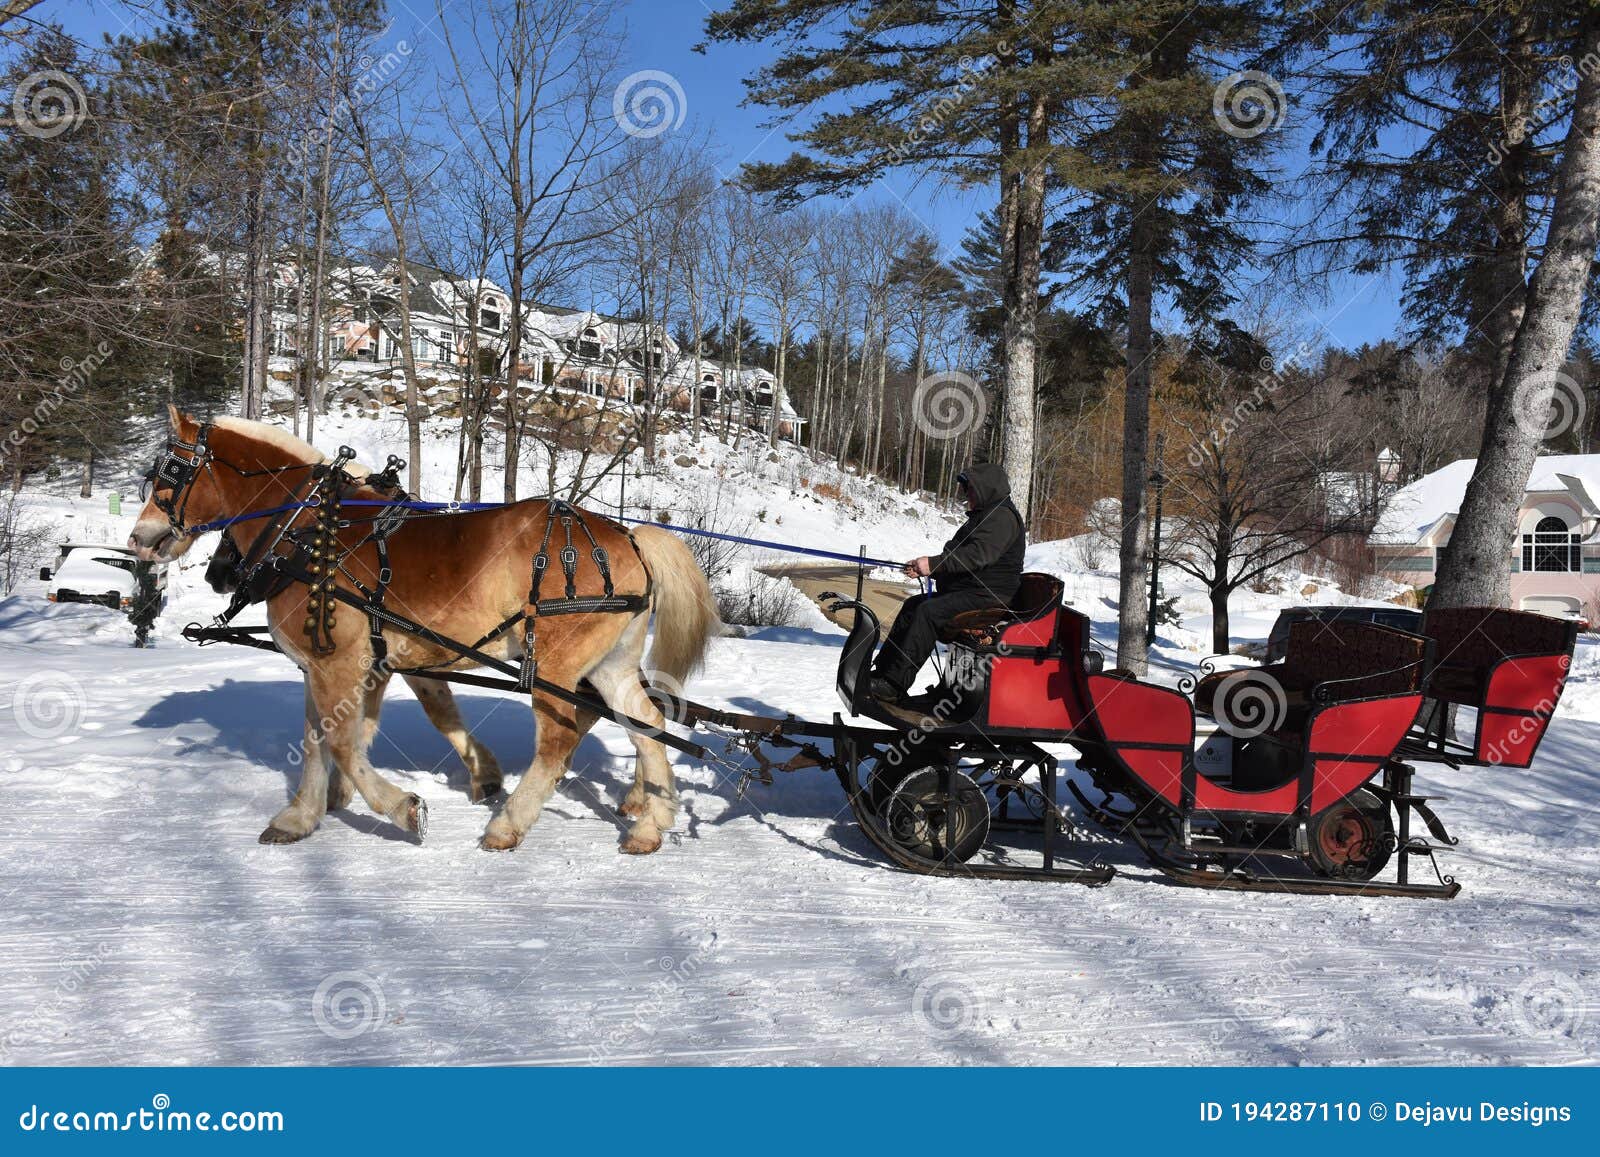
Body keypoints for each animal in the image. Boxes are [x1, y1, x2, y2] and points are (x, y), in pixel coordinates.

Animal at [129, 406, 719, 855]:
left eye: (170, 474)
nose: (140, 538)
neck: (308, 531)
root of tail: (630, 539)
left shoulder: (339, 661)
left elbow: (342, 742)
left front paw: (402, 808)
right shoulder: (357, 663)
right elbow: (326, 738)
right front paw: (302, 815)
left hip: (557, 665)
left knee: (560, 740)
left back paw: (508, 825)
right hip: (610, 664)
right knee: (645, 724)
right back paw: (649, 824)